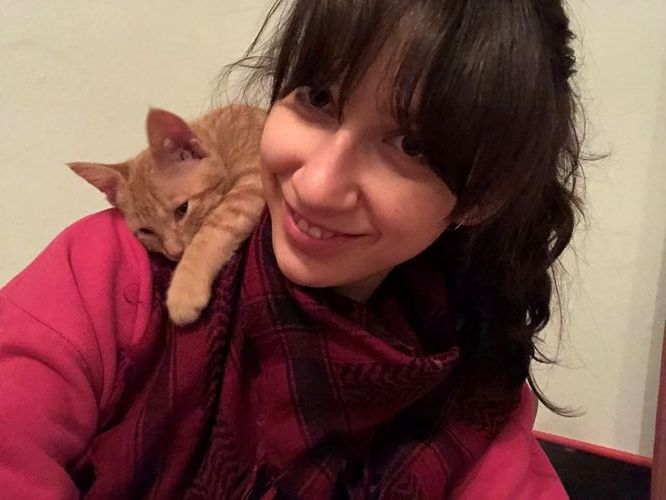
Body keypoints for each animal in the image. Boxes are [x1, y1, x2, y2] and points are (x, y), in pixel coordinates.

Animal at [69, 105, 266, 325]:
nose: (175, 252)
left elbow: (216, 226)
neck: (222, 144)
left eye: (182, 209)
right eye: (146, 231)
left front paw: (185, 290)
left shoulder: (255, 178)